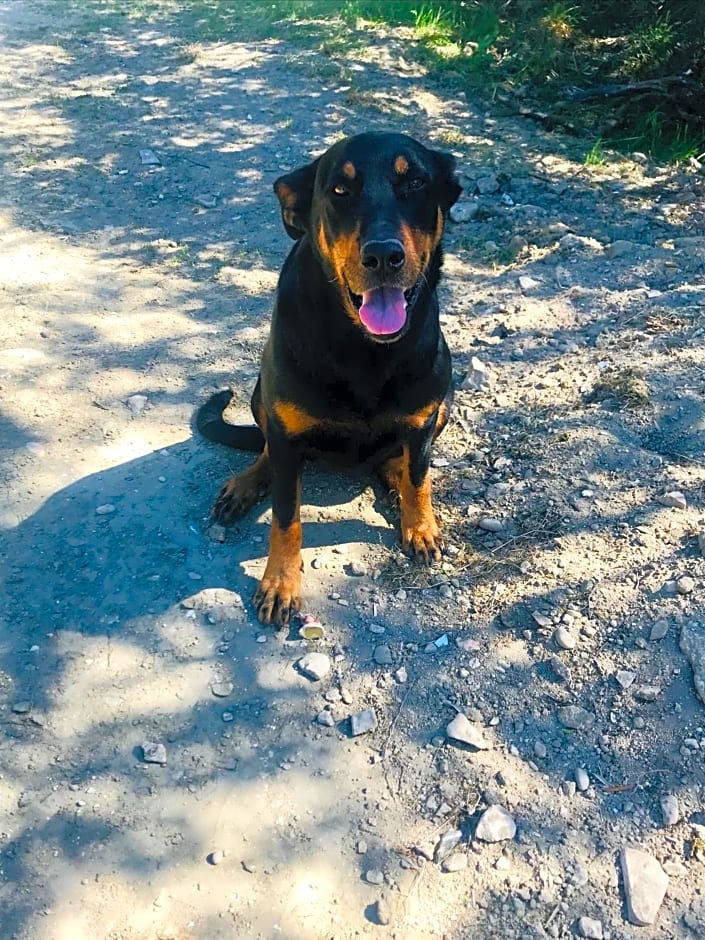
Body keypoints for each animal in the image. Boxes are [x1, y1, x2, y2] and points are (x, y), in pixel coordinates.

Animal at [198, 130, 462, 624]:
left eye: (416, 182)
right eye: (339, 190)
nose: (383, 255)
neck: (364, 347)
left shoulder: (423, 418)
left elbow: (419, 478)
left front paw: (420, 525)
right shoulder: (285, 430)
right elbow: (286, 518)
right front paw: (280, 583)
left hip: (446, 403)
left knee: (402, 463)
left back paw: (394, 476)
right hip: (261, 396)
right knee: (267, 450)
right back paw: (247, 483)